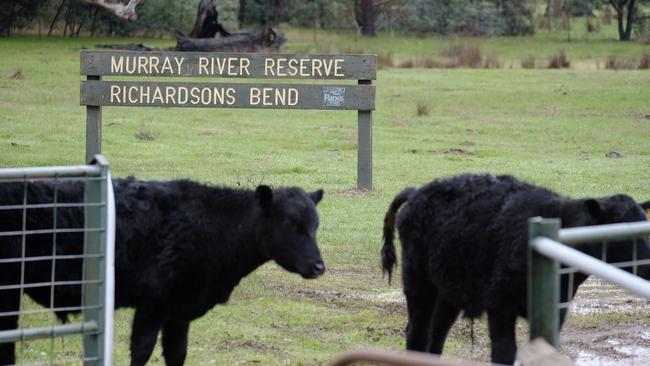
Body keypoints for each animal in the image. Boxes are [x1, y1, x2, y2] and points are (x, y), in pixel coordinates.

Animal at [0, 178, 324, 366]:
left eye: (315, 225)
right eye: (291, 223)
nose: (319, 266)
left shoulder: (179, 312)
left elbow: (177, 354)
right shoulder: (152, 306)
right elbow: (141, 352)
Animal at [380, 174, 648, 364]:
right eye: (622, 232)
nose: (648, 263)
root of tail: (417, 191)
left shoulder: (555, 311)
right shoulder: (499, 306)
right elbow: (504, 353)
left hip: (448, 291)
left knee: (437, 333)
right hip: (417, 282)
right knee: (417, 332)